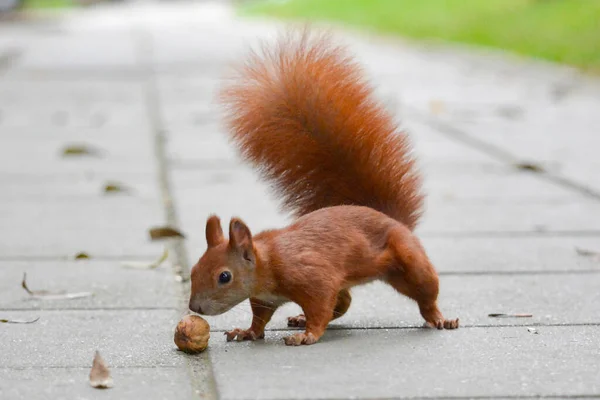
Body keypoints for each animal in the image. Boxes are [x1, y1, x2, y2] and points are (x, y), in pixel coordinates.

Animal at [189, 31, 460, 346]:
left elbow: (320, 306)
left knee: (425, 295)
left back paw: (440, 318)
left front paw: (308, 335)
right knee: (344, 302)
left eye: (224, 277)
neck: (268, 261)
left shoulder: (313, 277)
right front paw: (247, 332)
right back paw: (299, 317)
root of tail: (390, 218)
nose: (194, 307)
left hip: (409, 261)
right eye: (194, 269)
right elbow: (260, 318)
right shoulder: (264, 297)